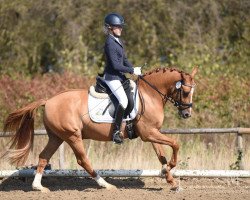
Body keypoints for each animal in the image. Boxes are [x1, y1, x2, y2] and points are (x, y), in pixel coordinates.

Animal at [1, 66, 197, 192]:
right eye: (186, 92)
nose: (187, 114)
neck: (150, 95)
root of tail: (48, 100)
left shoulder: (152, 133)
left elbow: (161, 154)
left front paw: (170, 179)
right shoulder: (149, 133)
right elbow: (175, 144)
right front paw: (170, 168)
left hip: (57, 137)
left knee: (43, 157)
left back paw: (38, 187)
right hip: (73, 136)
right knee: (83, 161)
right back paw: (106, 185)